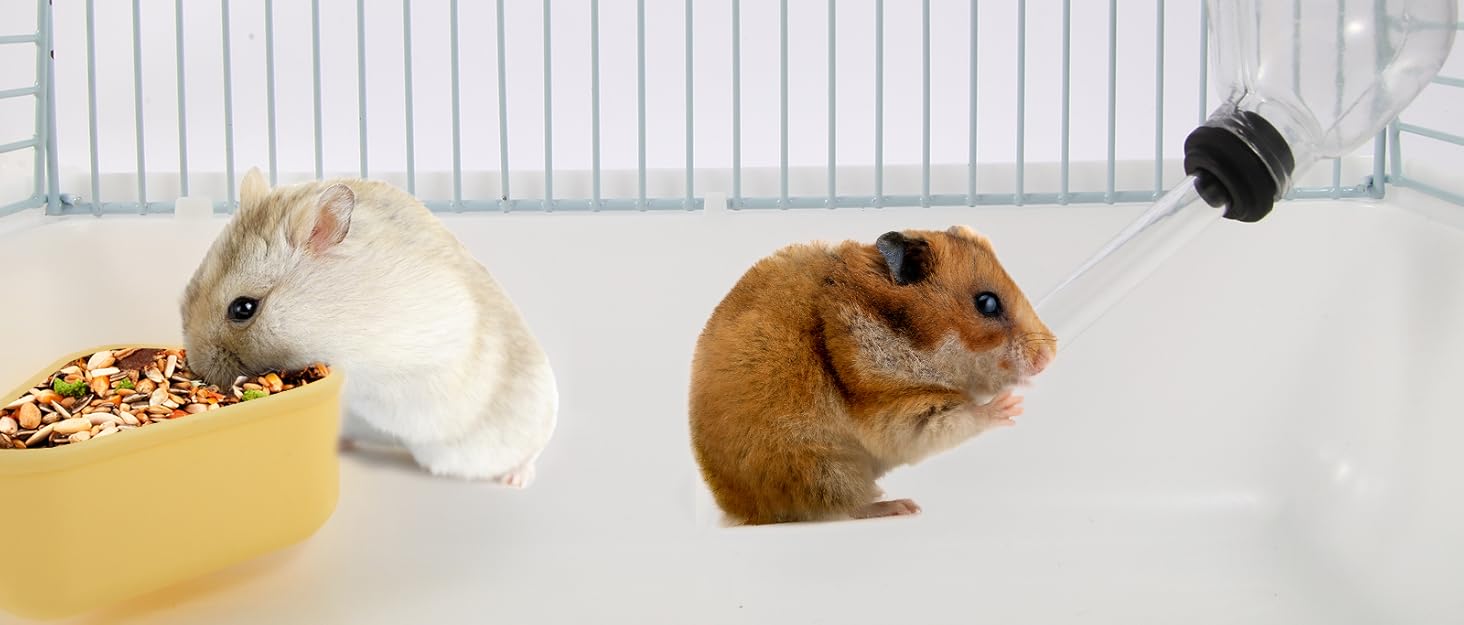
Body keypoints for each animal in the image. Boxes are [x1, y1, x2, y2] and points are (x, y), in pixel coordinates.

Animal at [689, 226, 1056, 524]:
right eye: (987, 303)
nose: (1049, 357)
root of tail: (737, 506)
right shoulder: (893, 410)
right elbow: (955, 420)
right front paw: (1008, 407)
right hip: (821, 468)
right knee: (843, 507)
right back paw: (899, 505)